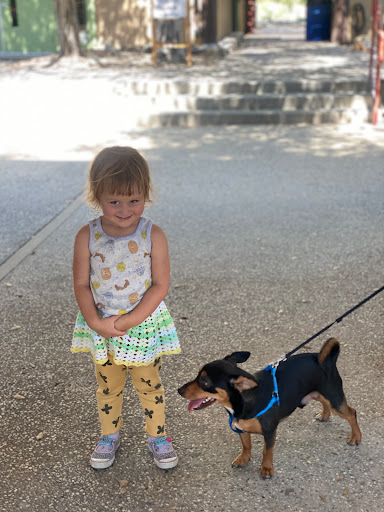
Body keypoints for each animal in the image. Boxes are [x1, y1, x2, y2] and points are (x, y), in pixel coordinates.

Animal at [178, 338, 362, 478]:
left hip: (334, 399)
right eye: (197, 375)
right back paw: (324, 415)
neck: (243, 400)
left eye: (204, 382)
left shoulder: (269, 432)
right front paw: (243, 459)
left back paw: (356, 437)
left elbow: (267, 451)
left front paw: (266, 469)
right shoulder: (241, 429)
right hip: (318, 393)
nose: (179, 390)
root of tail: (322, 359)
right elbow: (246, 445)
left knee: (351, 413)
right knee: (325, 403)